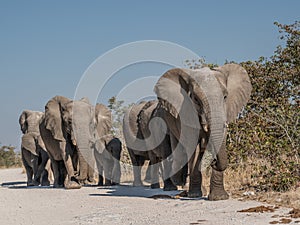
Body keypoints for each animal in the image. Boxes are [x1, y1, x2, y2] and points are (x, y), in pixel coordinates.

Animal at [154, 63, 252, 200]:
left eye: (225, 97)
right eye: (195, 99)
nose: (214, 161)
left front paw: (219, 198)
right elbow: (193, 149)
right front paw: (194, 195)